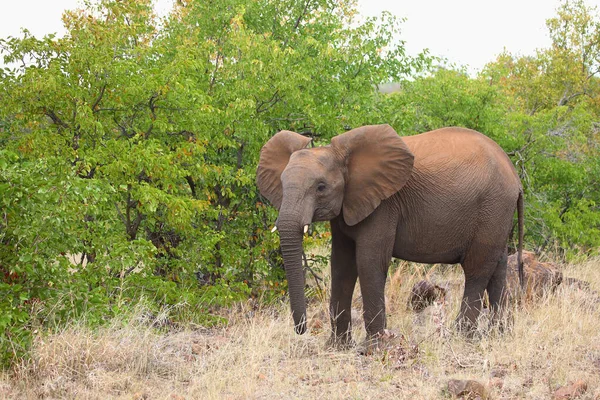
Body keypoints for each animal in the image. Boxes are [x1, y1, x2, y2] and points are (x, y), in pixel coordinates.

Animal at [255, 125, 524, 346]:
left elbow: (369, 262)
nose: (302, 329)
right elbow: (341, 266)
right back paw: (499, 335)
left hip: (493, 207)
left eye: (321, 187)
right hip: (497, 214)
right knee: (498, 265)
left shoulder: (383, 205)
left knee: (477, 269)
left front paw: (373, 347)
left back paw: (461, 338)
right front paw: (336, 347)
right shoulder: (346, 207)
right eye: (282, 183)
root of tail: (515, 175)